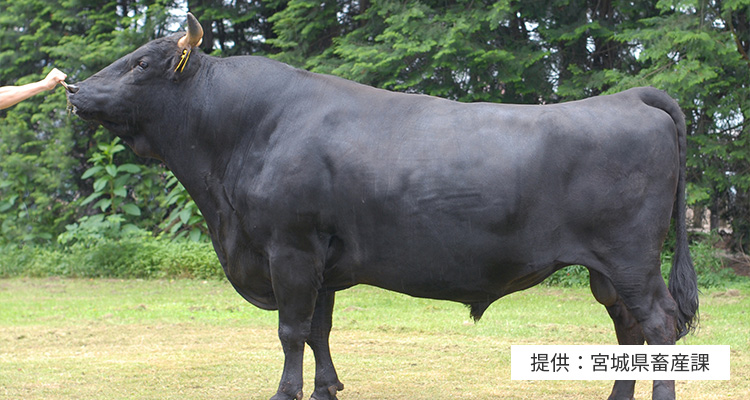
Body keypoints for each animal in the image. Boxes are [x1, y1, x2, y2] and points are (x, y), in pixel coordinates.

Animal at [67, 12, 704, 400]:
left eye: (142, 63)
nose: (73, 89)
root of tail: (631, 96)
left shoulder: (290, 249)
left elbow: (291, 329)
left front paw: (286, 390)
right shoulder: (318, 259)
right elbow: (319, 330)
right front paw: (327, 387)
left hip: (631, 259)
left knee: (657, 324)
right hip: (608, 271)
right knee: (627, 331)